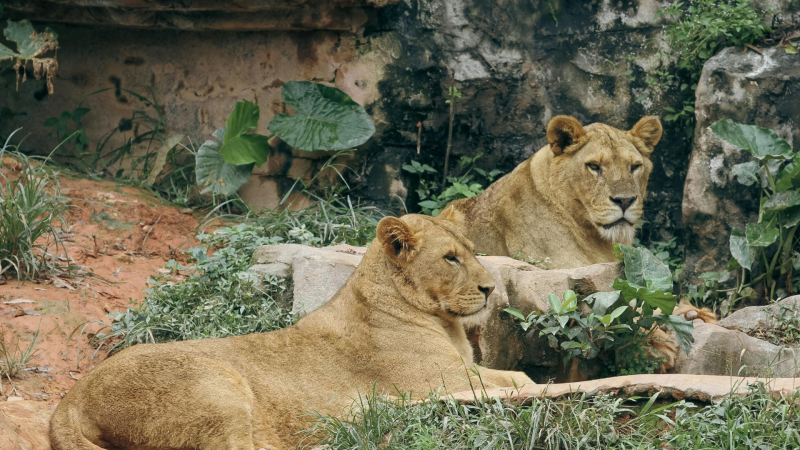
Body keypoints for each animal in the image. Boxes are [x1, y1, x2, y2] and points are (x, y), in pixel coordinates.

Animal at [48, 214, 532, 450]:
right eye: (450, 258)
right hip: (216, 384)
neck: (442, 320)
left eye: (472, 252)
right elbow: (517, 380)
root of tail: (71, 398)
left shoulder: (458, 372)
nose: (490, 288)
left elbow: (516, 376)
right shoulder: (440, 380)